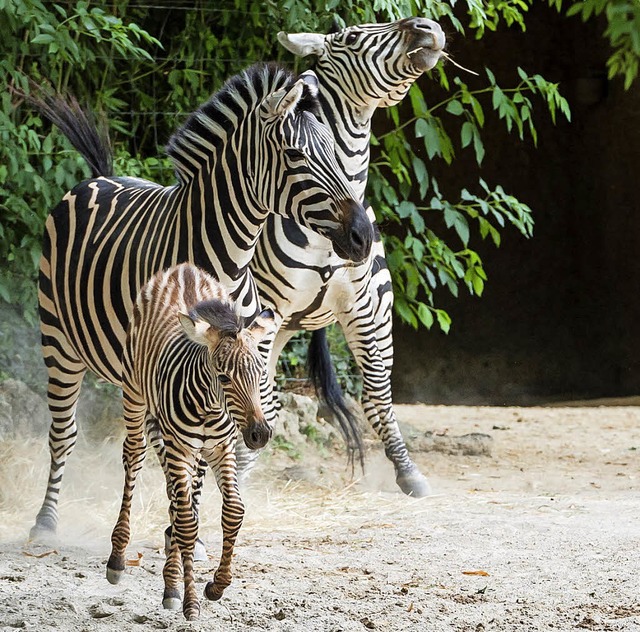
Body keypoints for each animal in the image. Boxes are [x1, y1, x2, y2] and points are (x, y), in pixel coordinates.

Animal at [31, 61, 370, 540]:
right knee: (64, 433)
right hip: (58, 339)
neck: (226, 264)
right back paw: (46, 521)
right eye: (295, 157)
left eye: (336, 156)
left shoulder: (236, 362)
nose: (364, 237)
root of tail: (100, 176)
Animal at [107, 262, 272, 624]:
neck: (211, 406)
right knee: (134, 458)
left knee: (179, 496)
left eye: (260, 373)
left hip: (190, 451)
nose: (259, 434)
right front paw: (191, 600)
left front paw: (216, 586)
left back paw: (171, 581)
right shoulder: (180, 447)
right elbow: (186, 522)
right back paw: (118, 559)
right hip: (134, 396)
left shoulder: (221, 448)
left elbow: (233, 511)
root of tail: (182, 270)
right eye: (224, 377)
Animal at [248, 17, 448, 496]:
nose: (428, 26)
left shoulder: (367, 308)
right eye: (353, 38)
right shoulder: (265, 305)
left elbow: (376, 396)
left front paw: (408, 472)